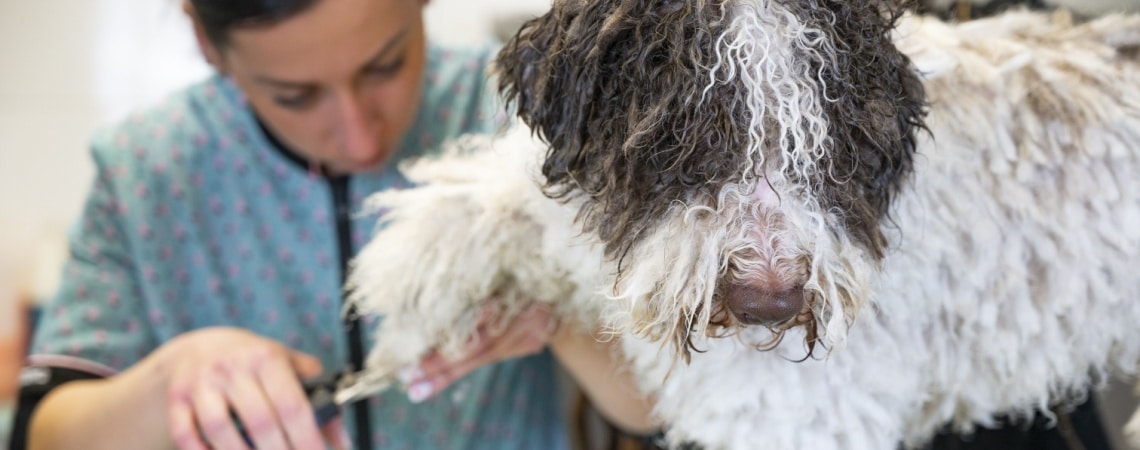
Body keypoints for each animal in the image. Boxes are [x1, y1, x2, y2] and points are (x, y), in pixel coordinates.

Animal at [337, 1, 1140, 448]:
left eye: (834, 146)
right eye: (679, 137)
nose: (770, 302)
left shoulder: (798, 420)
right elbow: (500, 201)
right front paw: (409, 273)